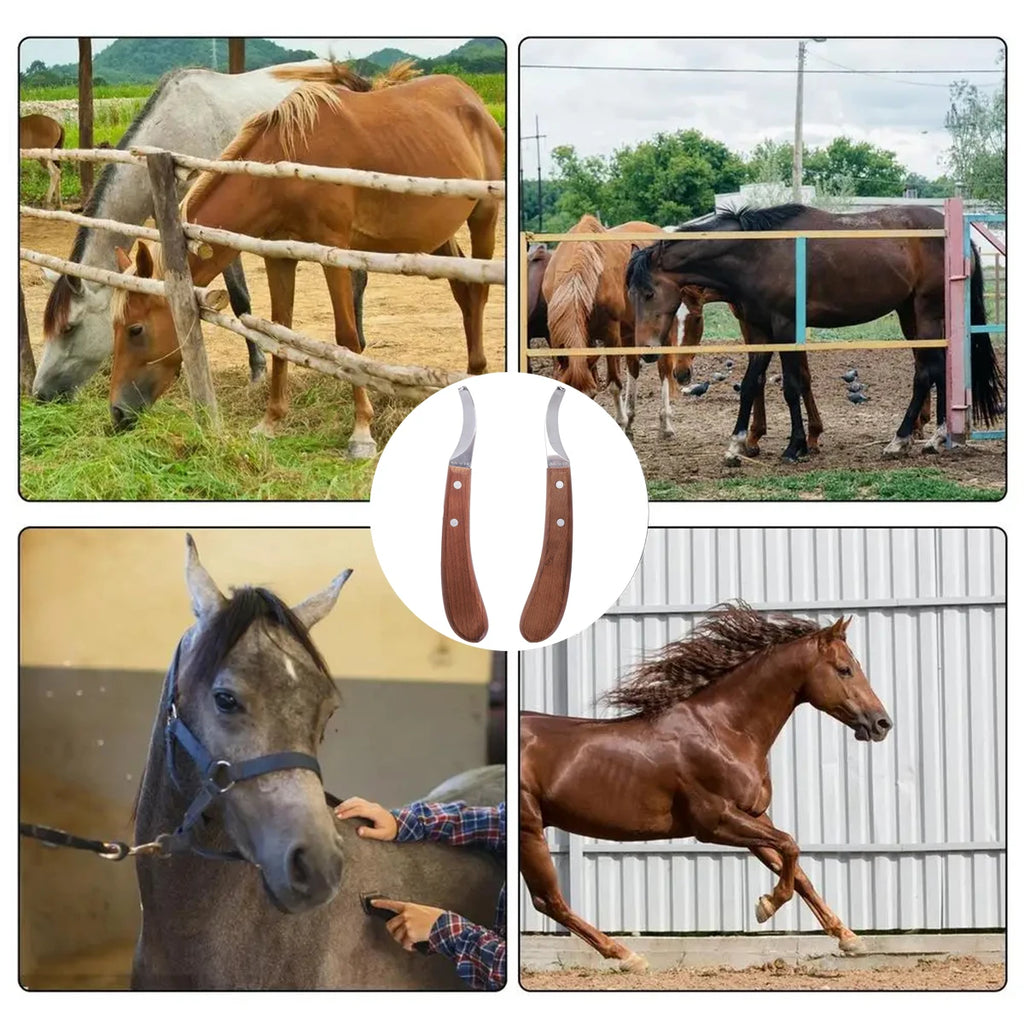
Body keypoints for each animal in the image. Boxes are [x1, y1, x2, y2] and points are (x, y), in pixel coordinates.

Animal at [109, 62, 503, 456]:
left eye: (135, 329)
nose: (117, 412)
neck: (282, 168)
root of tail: (470, 98)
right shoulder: (278, 256)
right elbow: (278, 331)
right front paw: (270, 421)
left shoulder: (334, 251)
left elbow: (347, 338)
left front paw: (361, 431)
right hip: (439, 235)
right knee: (464, 292)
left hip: (484, 216)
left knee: (478, 294)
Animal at [520, 602, 892, 970]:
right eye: (845, 669)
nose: (882, 723)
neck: (724, 730)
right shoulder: (714, 822)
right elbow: (790, 846)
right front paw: (766, 905)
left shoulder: (754, 816)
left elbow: (796, 869)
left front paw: (849, 938)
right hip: (529, 828)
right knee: (548, 900)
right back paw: (627, 956)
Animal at [542, 215, 683, 439]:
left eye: (590, 394)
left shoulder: (611, 336)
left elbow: (614, 384)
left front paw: (620, 422)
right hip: (631, 332)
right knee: (634, 368)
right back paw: (631, 420)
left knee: (664, 369)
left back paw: (665, 423)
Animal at [627, 203, 1004, 463]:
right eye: (631, 294)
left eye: (649, 293)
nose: (647, 351)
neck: (758, 254)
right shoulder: (761, 330)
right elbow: (751, 383)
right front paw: (737, 444)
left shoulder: (785, 326)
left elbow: (792, 385)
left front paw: (795, 446)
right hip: (910, 314)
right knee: (936, 369)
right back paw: (929, 438)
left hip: (926, 313)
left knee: (927, 372)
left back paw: (903, 440)